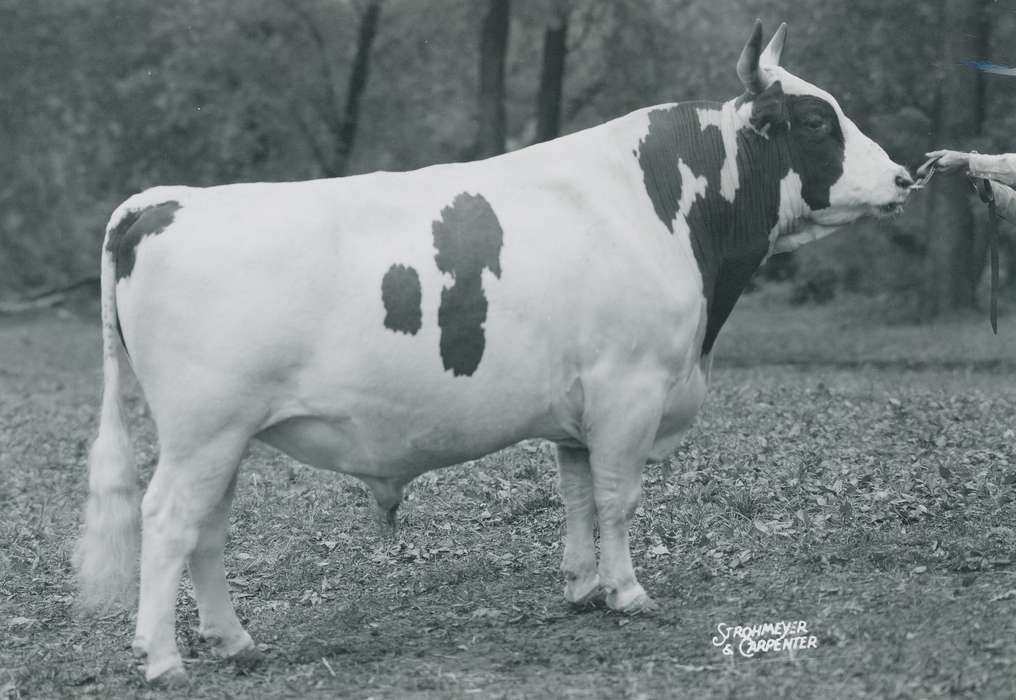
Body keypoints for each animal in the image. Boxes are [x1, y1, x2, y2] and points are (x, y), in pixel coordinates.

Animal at [75, 21, 913, 683]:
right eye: (817, 120)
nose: (905, 177)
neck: (660, 207)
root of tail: (163, 200)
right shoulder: (629, 389)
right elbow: (619, 496)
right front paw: (629, 592)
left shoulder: (579, 407)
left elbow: (577, 495)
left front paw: (581, 588)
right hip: (204, 429)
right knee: (168, 520)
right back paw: (163, 658)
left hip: (224, 436)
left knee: (207, 528)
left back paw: (234, 640)